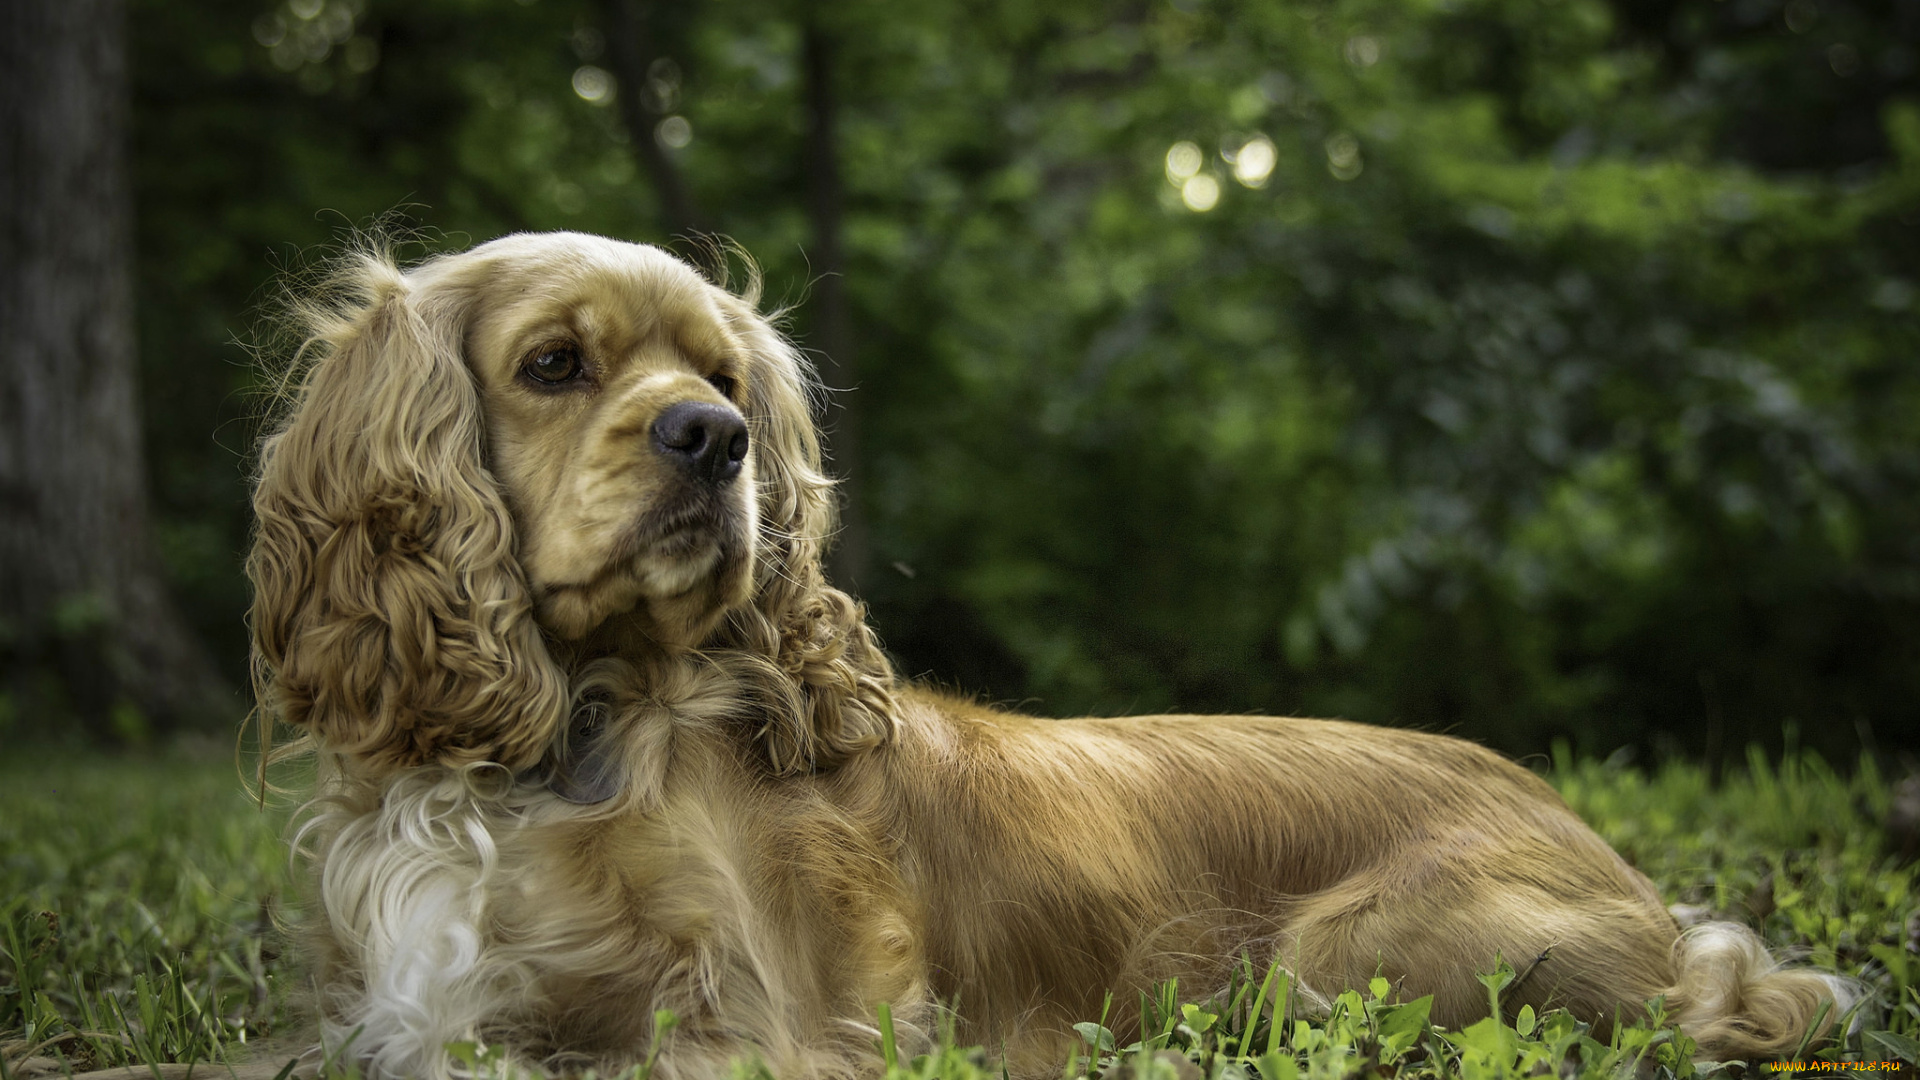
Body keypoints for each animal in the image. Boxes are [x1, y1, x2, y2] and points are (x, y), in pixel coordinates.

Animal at [247, 233, 1850, 1076]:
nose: (717, 437)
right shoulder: (393, 1017)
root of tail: (1605, 849)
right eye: (554, 365)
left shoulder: (776, 1027)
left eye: (720, 375)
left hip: (1351, 958)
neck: (558, 745)